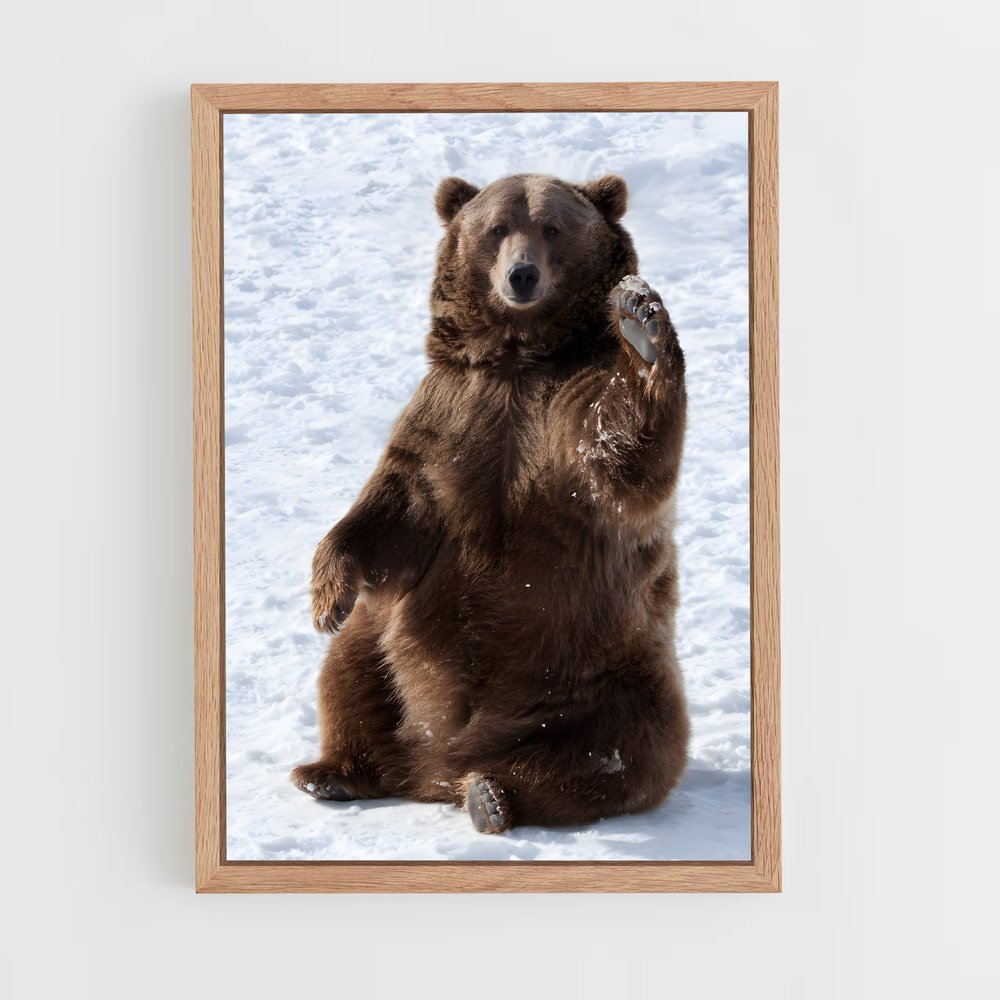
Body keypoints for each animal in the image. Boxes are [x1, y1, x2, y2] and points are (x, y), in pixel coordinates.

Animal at [291, 172, 690, 834]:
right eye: (497, 227)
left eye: (551, 227)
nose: (521, 275)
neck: (517, 356)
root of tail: (435, 766)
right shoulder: (451, 412)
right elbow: (394, 506)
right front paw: (327, 597)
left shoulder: (563, 408)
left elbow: (621, 457)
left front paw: (640, 322)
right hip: (386, 646)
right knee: (350, 673)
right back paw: (333, 771)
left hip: (607, 671)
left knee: (626, 749)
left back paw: (493, 795)